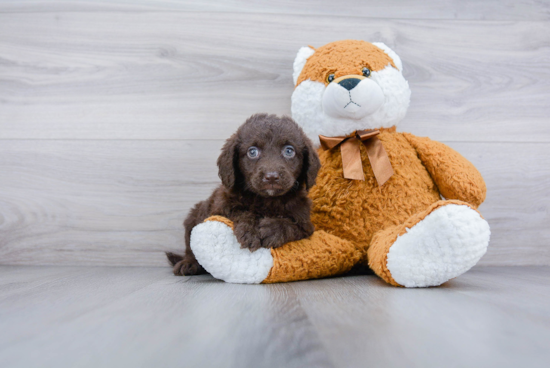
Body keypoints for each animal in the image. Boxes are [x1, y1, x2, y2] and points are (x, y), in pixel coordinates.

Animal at [168, 113, 324, 274]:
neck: (268, 200)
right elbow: (240, 211)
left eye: (289, 151)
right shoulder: (221, 207)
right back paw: (188, 263)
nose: (271, 177)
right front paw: (251, 231)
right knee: (190, 246)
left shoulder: (306, 225)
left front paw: (272, 230)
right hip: (194, 217)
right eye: (252, 152)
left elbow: (292, 226)